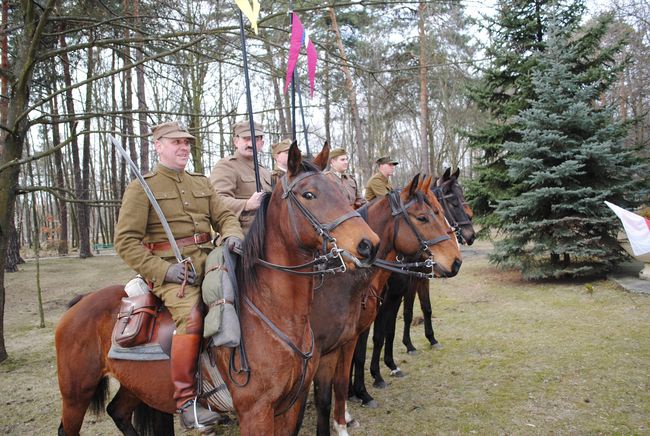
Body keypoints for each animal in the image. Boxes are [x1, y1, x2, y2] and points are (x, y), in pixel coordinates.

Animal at [57, 144, 380, 436]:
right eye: (309, 194)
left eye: (339, 191)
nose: (369, 244)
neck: (274, 312)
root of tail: (79, 304)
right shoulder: (255, 412)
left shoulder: (290, 407)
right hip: (76, 394)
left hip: (136, 385)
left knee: (119, 412)